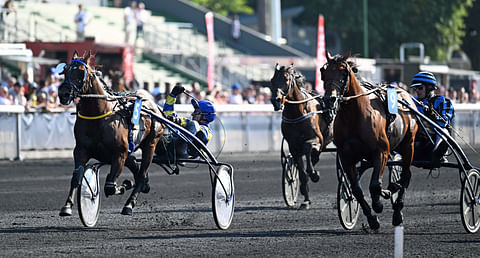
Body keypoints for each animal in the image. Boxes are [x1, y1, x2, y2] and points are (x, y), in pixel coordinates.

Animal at [58, 50, 165, 216]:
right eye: (65, 70)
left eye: (81, 72)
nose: (63, 93)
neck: (99, 116)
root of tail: (154, 105)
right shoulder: (81, 150)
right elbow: (76, 176)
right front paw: (67, 206)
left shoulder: (119, 154)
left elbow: (110, 186)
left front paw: (125, 185)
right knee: (135, 166)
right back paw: (144, 186)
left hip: (151, 144)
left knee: (141, 175)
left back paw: (129, 204)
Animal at [270, 63, 334, 209]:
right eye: (271, 81)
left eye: (286, 79)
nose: (276, 101)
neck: (297, 113)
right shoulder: (294, 146)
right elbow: (302, 173)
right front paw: (306, 200)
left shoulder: (316, 139)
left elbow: (308, 149)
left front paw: (315, 175)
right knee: (314, 157)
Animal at [320, 53, 418, 230]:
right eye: (324, 72)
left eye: (343, 72)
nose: (329, 99)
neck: (354, 116)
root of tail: (404, 92)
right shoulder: (347, 157)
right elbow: (356, 190)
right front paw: (372, 219)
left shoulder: (381, 152)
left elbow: (375, 185)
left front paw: (378, 203)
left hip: (409, 145)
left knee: (406, 176)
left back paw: (397, 211)